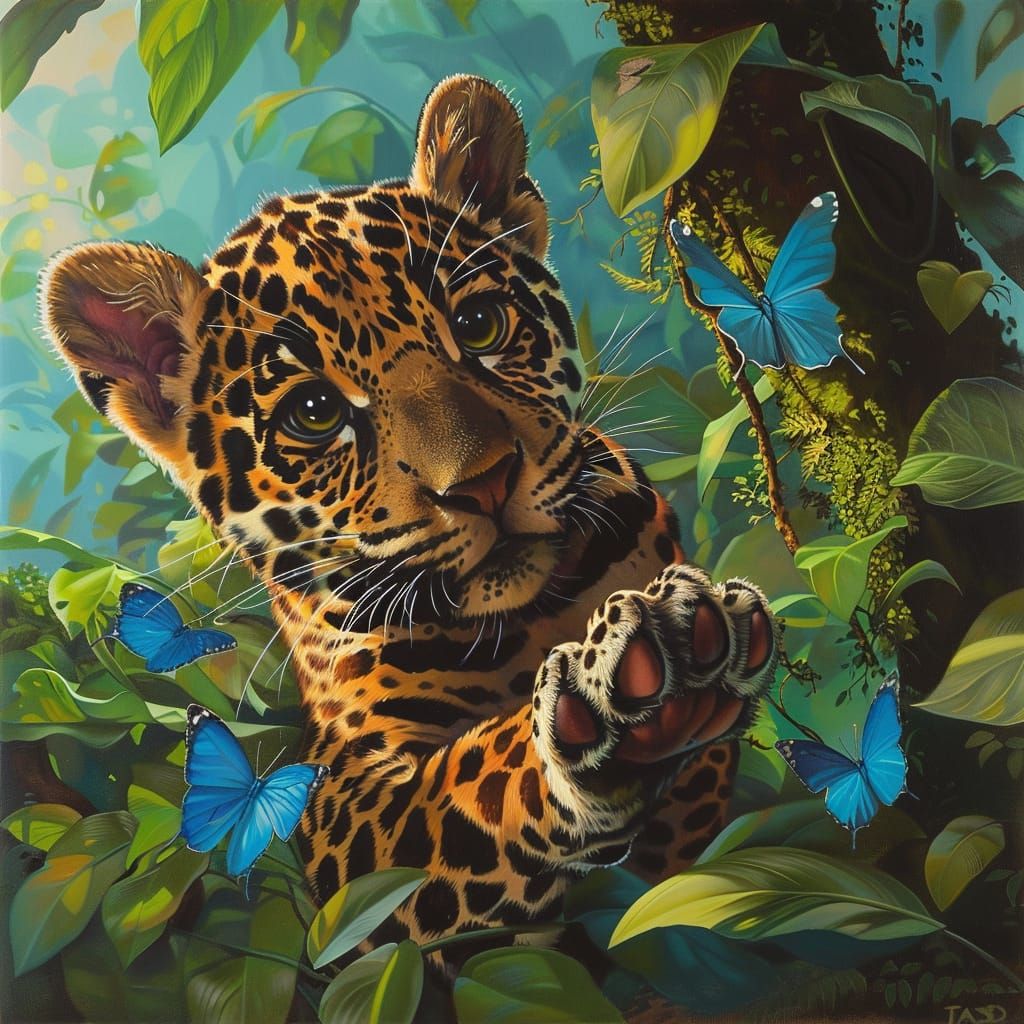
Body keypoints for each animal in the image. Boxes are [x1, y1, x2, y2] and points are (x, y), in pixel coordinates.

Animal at [41, 75, 779, 966]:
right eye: (315, 413)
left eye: (479, 327)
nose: (483, 484)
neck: (531, 620)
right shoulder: (348, 809)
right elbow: (477, 784)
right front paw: (619, 696)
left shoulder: (689, 837)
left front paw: (683, 655)